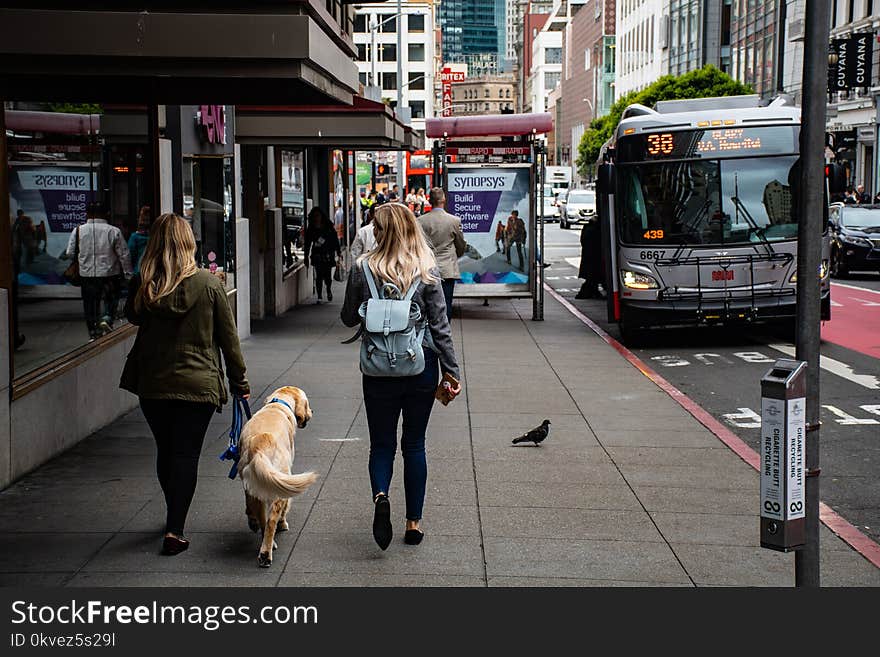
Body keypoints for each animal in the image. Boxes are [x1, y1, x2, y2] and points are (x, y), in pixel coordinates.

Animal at [239, 386, 318, 568]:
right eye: (307, 404)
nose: (312, 411)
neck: (278, 404)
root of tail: (259, 447)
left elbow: (248, 507)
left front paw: (251, 520)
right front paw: (283, 524)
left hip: (255, 486)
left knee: (261, 518)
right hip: (280, 483)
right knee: (271, 521)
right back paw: (266, 554)